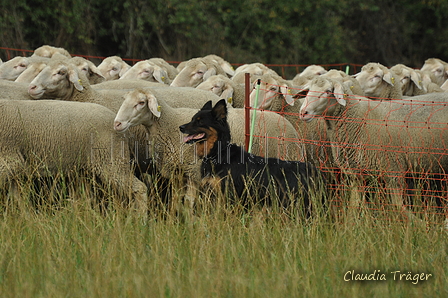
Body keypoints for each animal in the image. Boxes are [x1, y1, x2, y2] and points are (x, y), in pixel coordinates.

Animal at [0, 99, 149, 211]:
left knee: (139, 188)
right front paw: (28, 219)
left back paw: (140, 220)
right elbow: (17, 197)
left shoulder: (8, 160)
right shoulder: (12, 166)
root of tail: (118, 122)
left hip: (110, 159)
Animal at [178, 100, 326, 217]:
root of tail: (315, 171)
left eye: (200, 121)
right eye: (192, 119)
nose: (181, 127)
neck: (219, 153)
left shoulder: (229, 196)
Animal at [300, 76, 448, 217]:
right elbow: (354, 206)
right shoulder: (356, 174)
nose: (303, 112)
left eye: (328, 91)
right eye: (308, 90)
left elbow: (398, 206)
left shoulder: (394, 168)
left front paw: (417, 222)